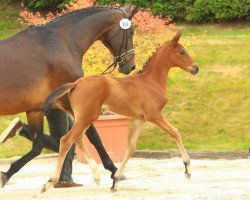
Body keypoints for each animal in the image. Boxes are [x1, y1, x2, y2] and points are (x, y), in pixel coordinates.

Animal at [41, 32, 199, 192]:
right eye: (182, 52)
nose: (196, 68)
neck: (151, 82)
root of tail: (76, 83)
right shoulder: (153, 115)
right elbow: (175, 132)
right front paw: (187, 169)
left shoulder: (139, 119)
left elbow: (130, 147)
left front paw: (116, 180)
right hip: (87, 116)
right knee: (66, 140)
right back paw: (50, 182)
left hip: (83, 117)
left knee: (77, 139)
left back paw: (96, 175)